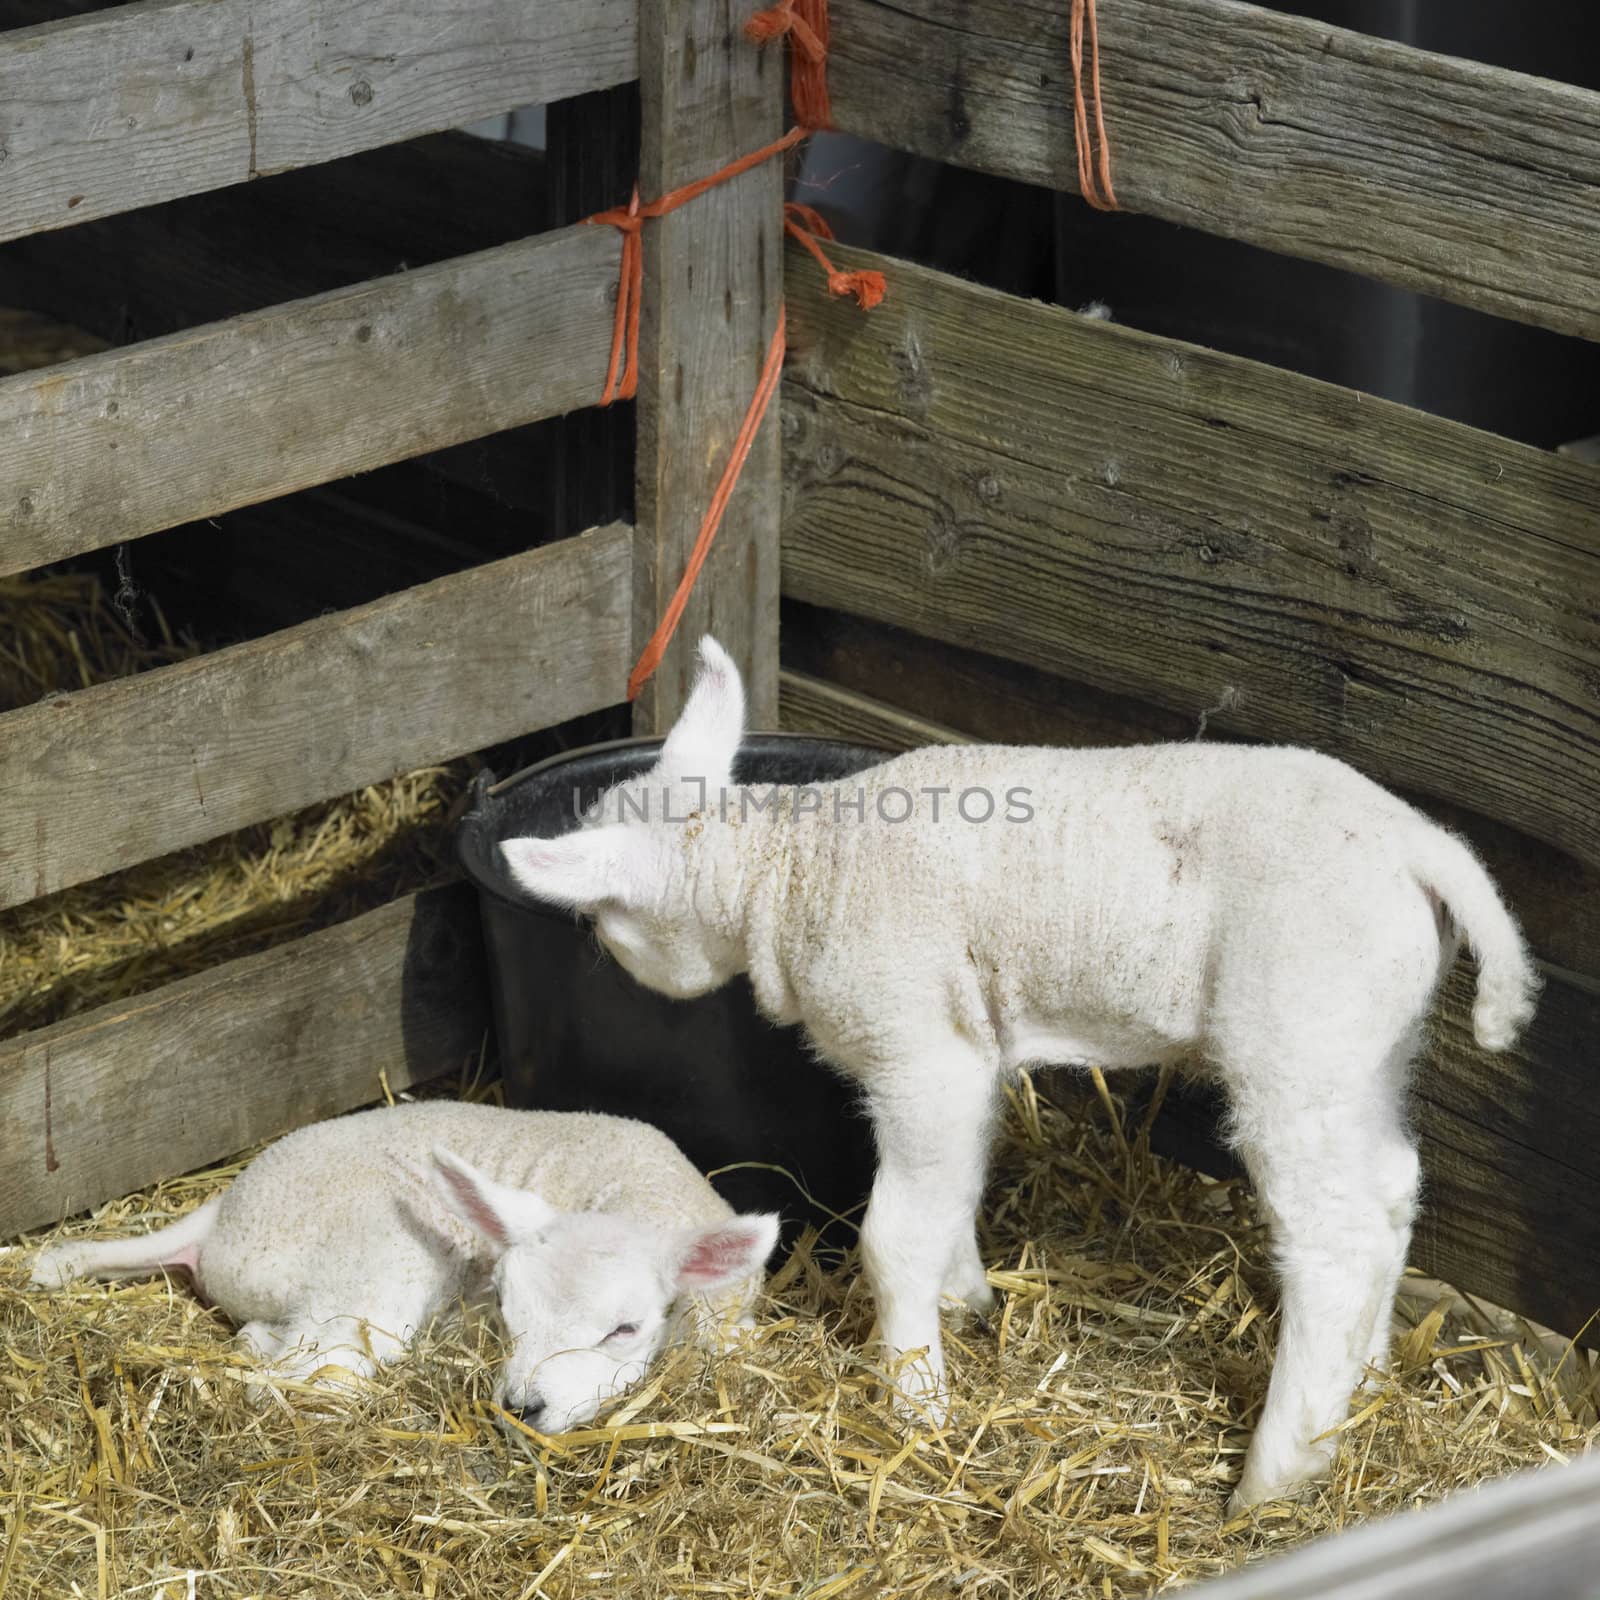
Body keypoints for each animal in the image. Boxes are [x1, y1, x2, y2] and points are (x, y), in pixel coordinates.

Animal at [25, 1100, 774, 1427]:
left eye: (623, 1330)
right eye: (508, 1316)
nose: (521, 1408)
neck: (632, 1194)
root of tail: (222, 1211)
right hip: (376, 1259)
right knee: (305, 1372)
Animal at [496, 633, 1536, 1510]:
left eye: (607, 923)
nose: (616, 960)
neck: (794, 870)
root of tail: (1422, 846)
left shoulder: (920, 1049)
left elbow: (895, 1235)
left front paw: (916, 1402)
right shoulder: (967, 1047)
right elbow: (955, 1191)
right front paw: (968, 1303)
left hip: (1298, 1029)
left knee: (1335, 1234)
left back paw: (1278, 1473)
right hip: (1367, 1041)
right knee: (1391, 1188)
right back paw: (1365, 1383)